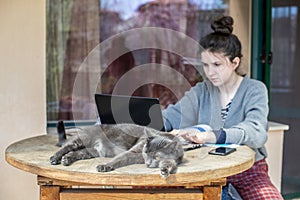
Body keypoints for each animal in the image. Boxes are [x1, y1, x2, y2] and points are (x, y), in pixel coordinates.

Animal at [49, 123, 183, 178]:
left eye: (157, 157)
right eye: (145, 152)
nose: (148, 163)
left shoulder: (173, 160)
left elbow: (169, 164)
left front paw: (164, 170)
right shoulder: (131, 152)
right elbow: (118, 159)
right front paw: (104, 166)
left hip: (91, 151)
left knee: (75, 153)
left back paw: (66, 159)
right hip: (83, 139)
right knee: (67, 146)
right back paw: (55, 158)